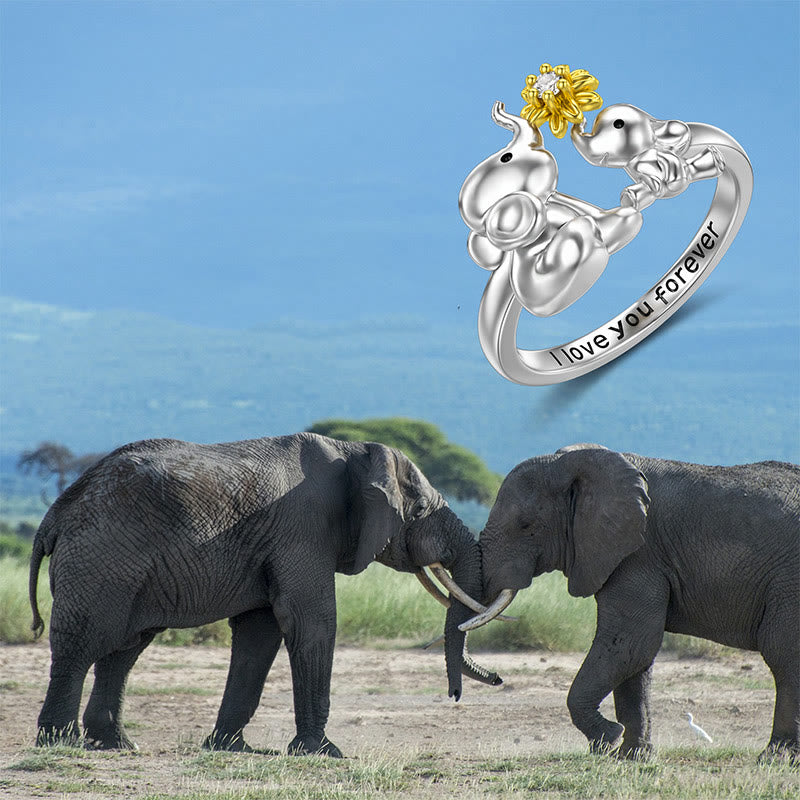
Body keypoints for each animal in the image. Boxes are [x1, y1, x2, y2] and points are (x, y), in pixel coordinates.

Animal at [28, 433, 501, 757]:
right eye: (417, 510)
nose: (491, 682)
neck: (352, 451)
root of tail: (56, 511)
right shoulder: (303, 531)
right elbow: (311, 623)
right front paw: (324, 753)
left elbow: (260, 633)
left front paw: (230, 748)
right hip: (101, 557)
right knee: (83, 643)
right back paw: (59, 742)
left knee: (124, 648)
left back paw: (117, 744)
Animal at [461, 444, 799, 760]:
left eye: (525, 524)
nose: (496, 678)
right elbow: (636, 657)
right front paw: (633, 755)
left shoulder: (640, 555)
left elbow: (630, 644)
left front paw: (607, 739)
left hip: (788, 582)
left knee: (783, 654)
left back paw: (775, 756)